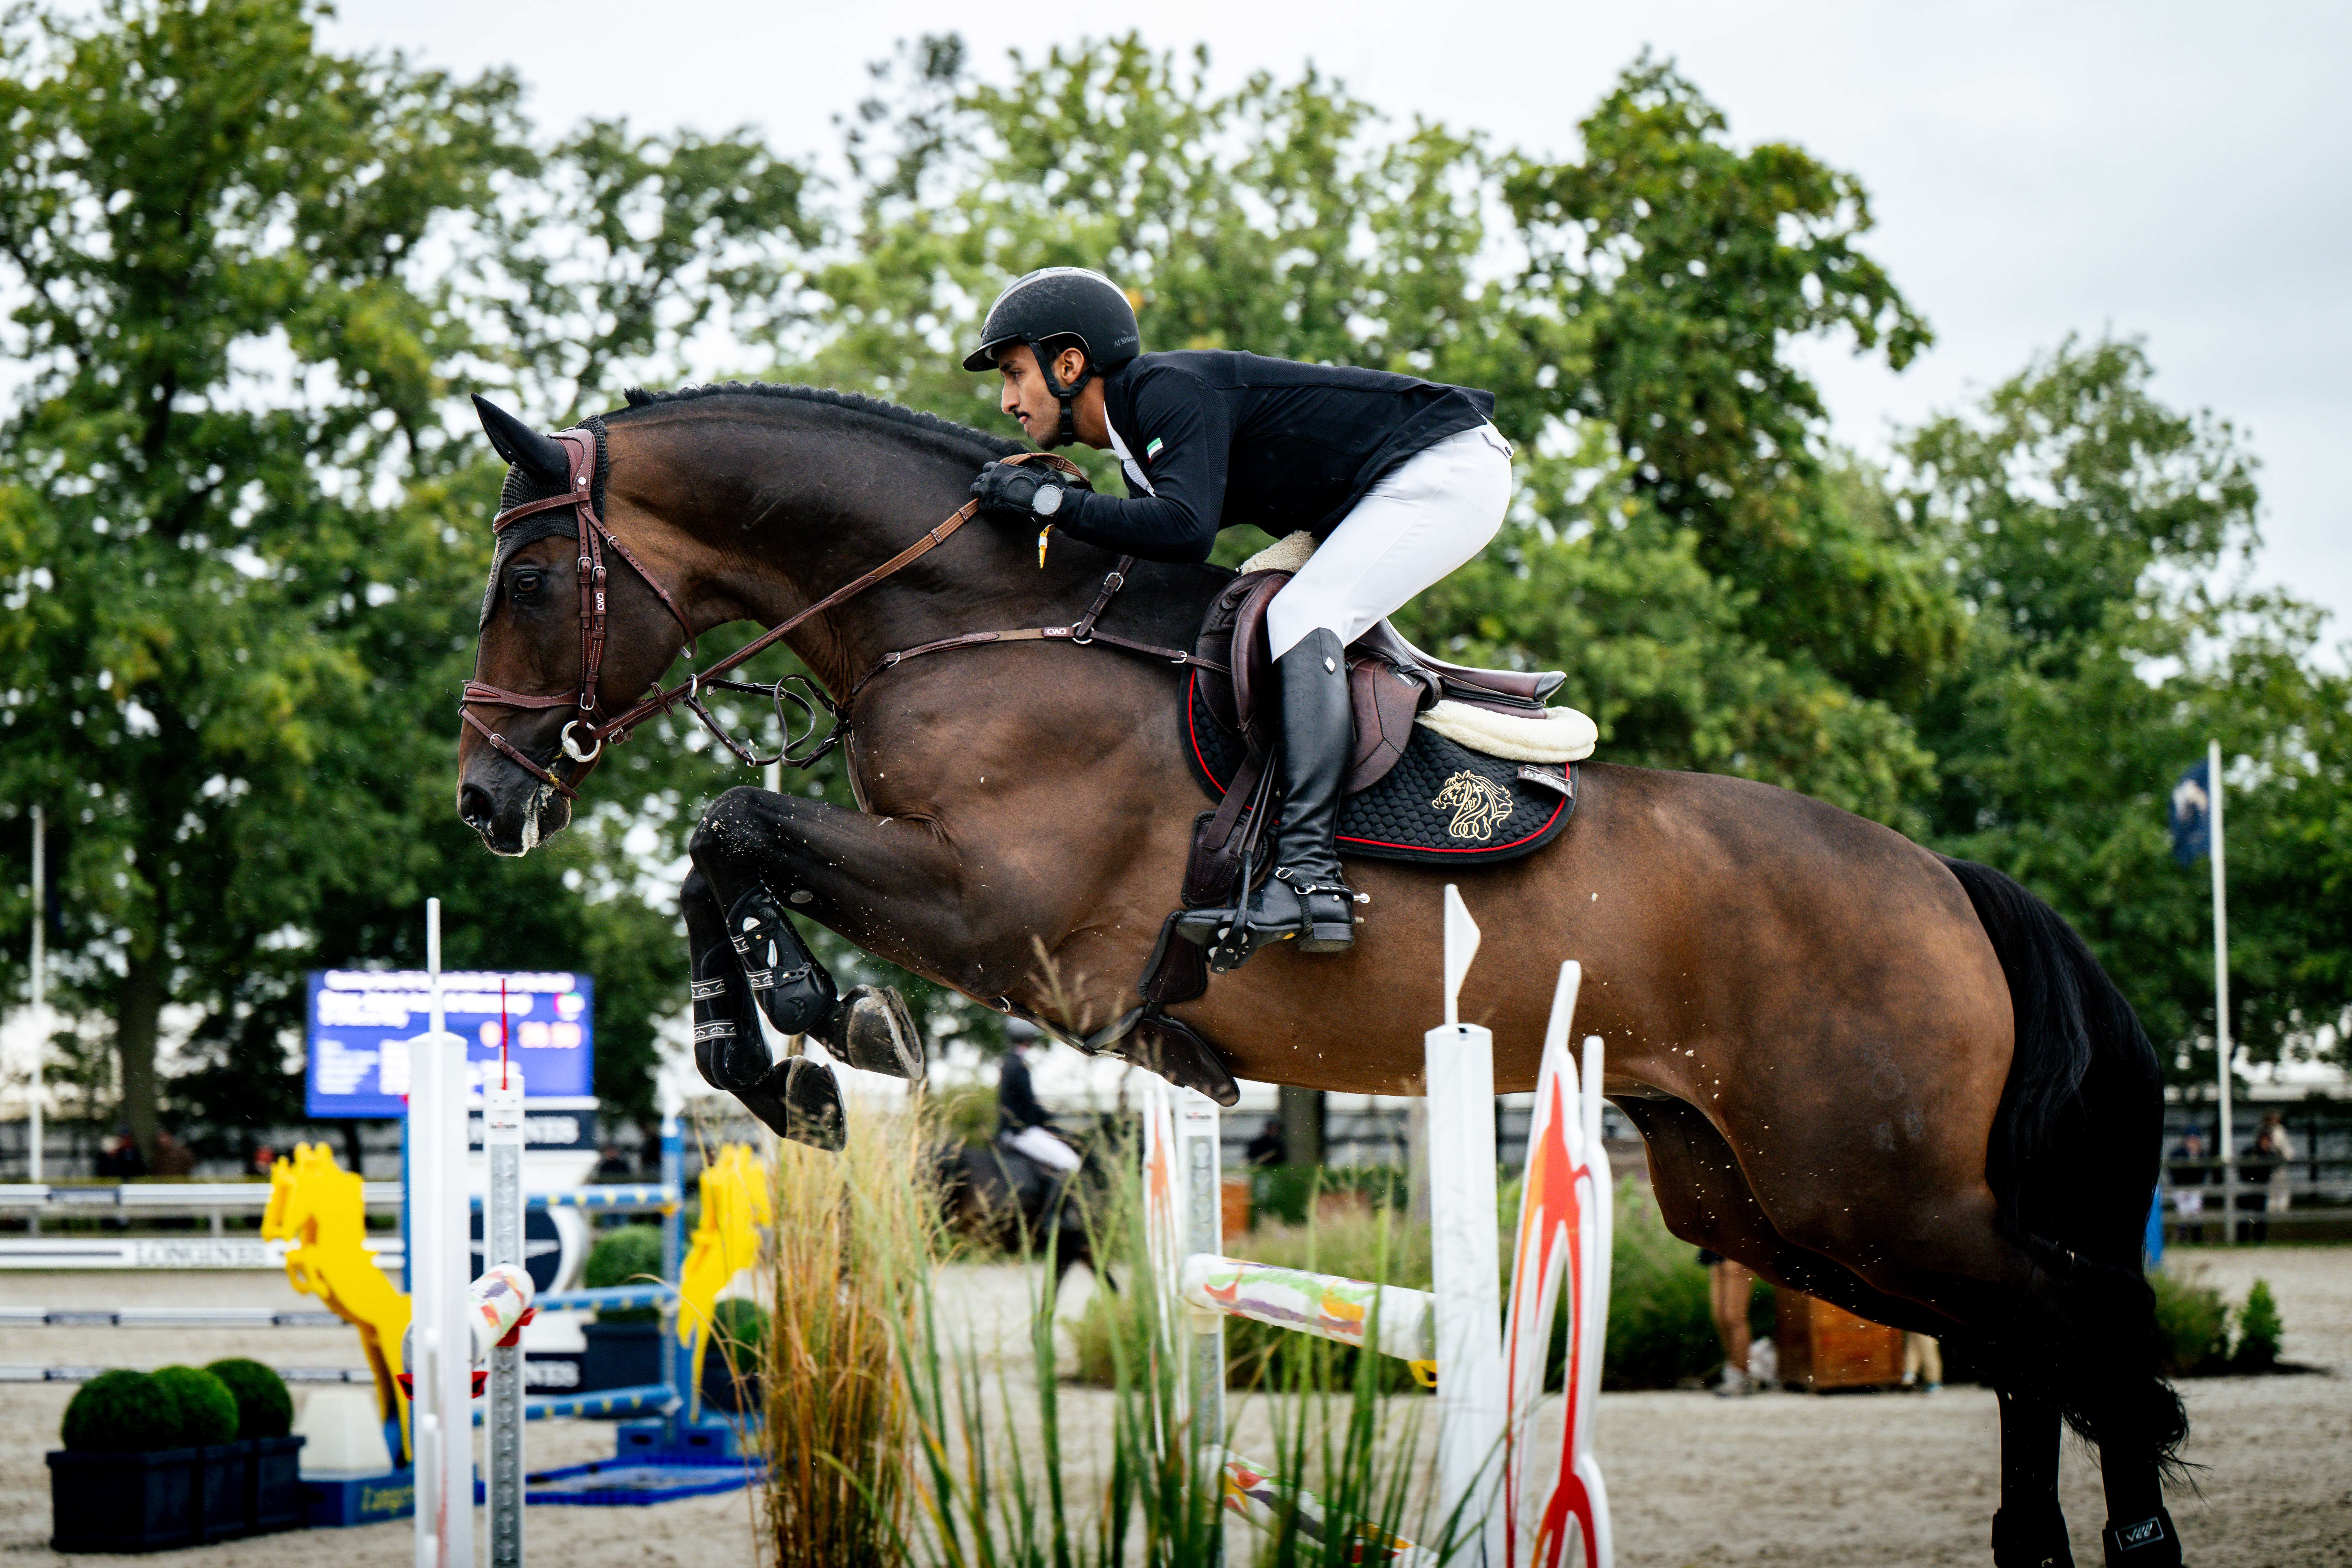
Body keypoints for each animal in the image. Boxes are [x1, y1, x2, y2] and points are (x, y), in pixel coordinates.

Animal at [455, 382, 2186, 1567]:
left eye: (527, 585)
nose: (484, 801)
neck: (978, 625)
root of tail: (1944, 883)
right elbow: (724, 843)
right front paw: (778, 1049)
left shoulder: (1008, 916)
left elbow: (731, 823)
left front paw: (816, 1032)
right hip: (1765, 1199)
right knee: (2032, 1342)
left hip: (1865, 1184)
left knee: (2085, 1320)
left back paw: (2136, 1530)